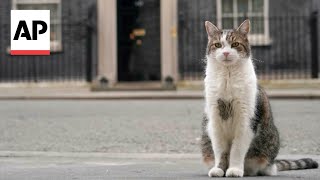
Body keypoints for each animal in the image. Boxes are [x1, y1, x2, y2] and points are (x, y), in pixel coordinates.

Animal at [200, 19, 318, 177]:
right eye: (218, 45)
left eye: (235, 44)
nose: (225, 52)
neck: (228, 76)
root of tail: (273, 164)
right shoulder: (215, 119)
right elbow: (220, 149)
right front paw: (219, 169)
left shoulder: (246, 120)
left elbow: (237, 149)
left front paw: (234, 169)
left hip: (269, 145)